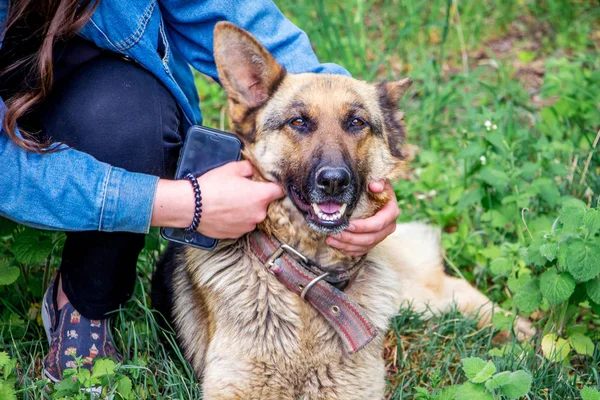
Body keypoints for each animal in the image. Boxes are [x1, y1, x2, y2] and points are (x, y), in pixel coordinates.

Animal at [151, 22, 536, 400]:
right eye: (298, 122)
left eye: (356, 123)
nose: (334, 181)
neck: (310, 280)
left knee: (450, 287)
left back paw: (519, 331)